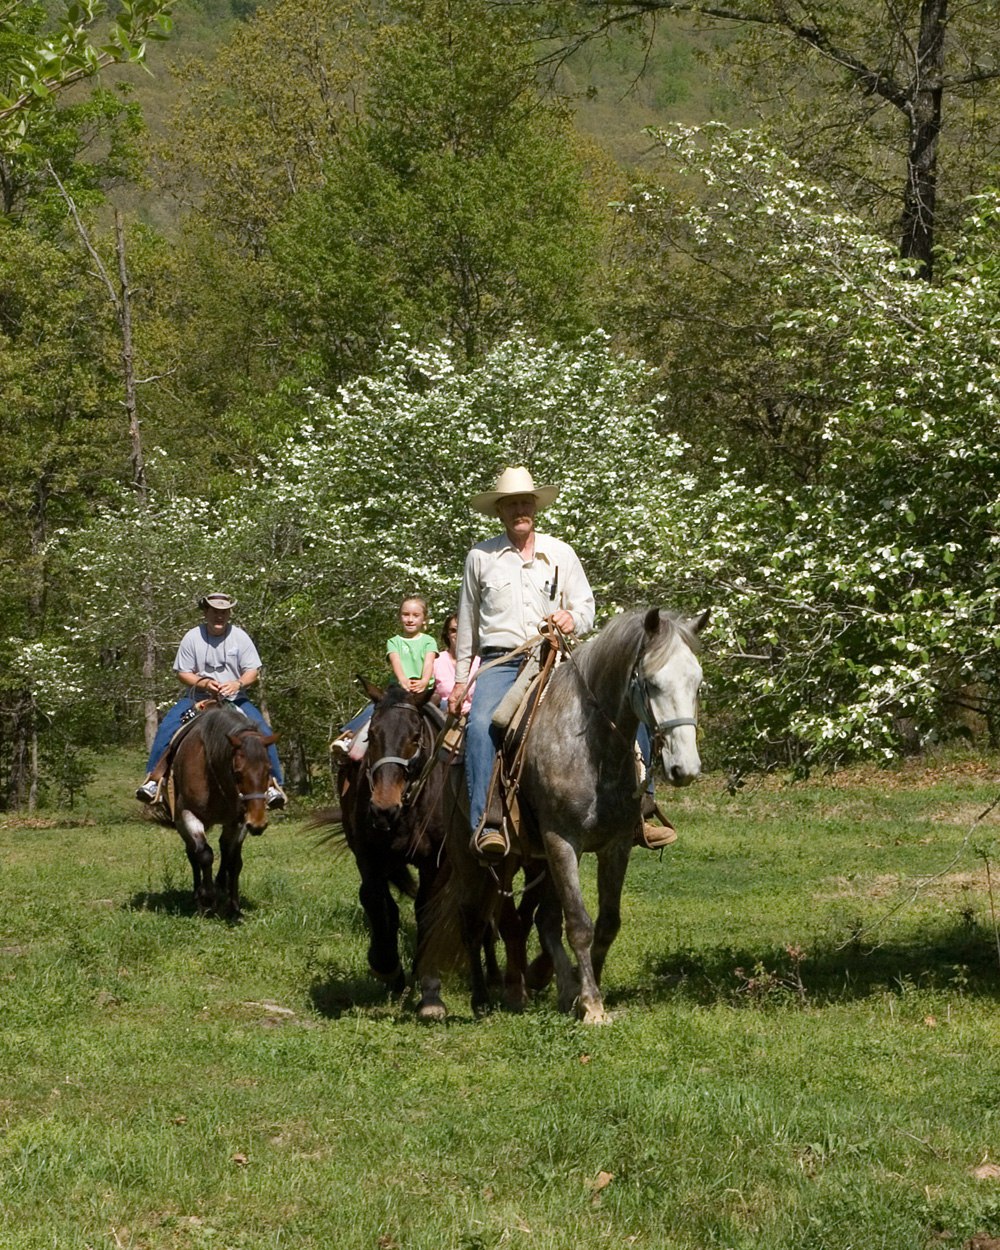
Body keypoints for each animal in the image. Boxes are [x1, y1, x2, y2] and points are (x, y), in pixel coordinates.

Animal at [154, 705, 277, 920]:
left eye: (268, 770)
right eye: (238, 772)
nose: (258, 823)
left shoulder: (238, 821)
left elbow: (233, 861)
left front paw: (234, 907)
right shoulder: (188, 814)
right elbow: (204, 855)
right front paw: (207, 899)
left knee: (225, 849)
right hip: (181, 824)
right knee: (193, 853)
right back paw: (198, 892)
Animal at [440, 607, 710, 1025]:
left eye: (696, 683)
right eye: (651, 683)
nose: (686, 768)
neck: (590, 748)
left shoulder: (615, 846)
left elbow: (606, 923)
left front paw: (584, 991)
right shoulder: (562, 841)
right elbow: (579, 924)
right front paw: (593, 1005)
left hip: (528, 859)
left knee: (541, 919)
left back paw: (555, 984)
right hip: (472, 856)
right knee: (473, 919)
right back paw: (483, 998)